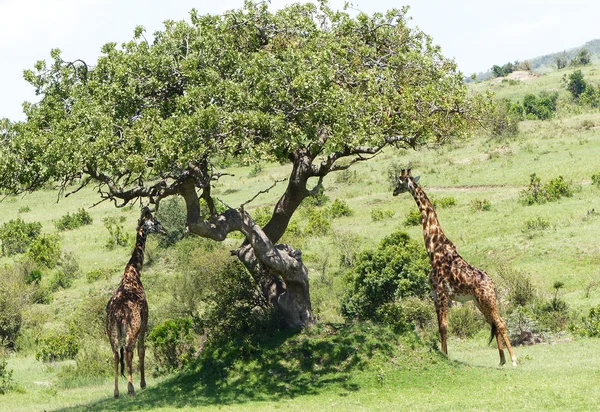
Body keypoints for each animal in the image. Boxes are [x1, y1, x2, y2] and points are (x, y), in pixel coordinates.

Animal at [105, 208, 165, 398]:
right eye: (156, 222)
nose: (165, 230)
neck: (134, 272)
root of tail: (119, 313)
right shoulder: (145, 319)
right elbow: (142, 350)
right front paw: (143, 383)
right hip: (132, 327)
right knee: (129, 351)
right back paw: (131, 389)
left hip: (111, 331)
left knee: (116, 354)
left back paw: (116, 392)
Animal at [394, 169, 516, 366]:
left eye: (399, 182)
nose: (394, 192)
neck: (434, 248)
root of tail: (493, 284)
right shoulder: (435, 294)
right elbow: (440, 326)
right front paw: (444, 353)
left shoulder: (443, 292)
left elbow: (444, 326)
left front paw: (445, 356)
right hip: (479, 302)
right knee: (494, 323)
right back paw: (501, 360)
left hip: (487, 299)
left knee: (501, 322)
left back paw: (513, 359)